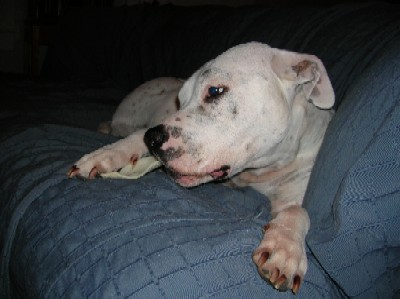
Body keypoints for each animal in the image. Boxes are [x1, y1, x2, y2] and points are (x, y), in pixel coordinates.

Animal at [68, 42, 334, 296]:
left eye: (215, 91)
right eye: (181, 100)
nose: (152, 138)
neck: (254, 174)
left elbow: (298, 211)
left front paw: (285, 247)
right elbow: (133, 139)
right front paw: (107, 155)